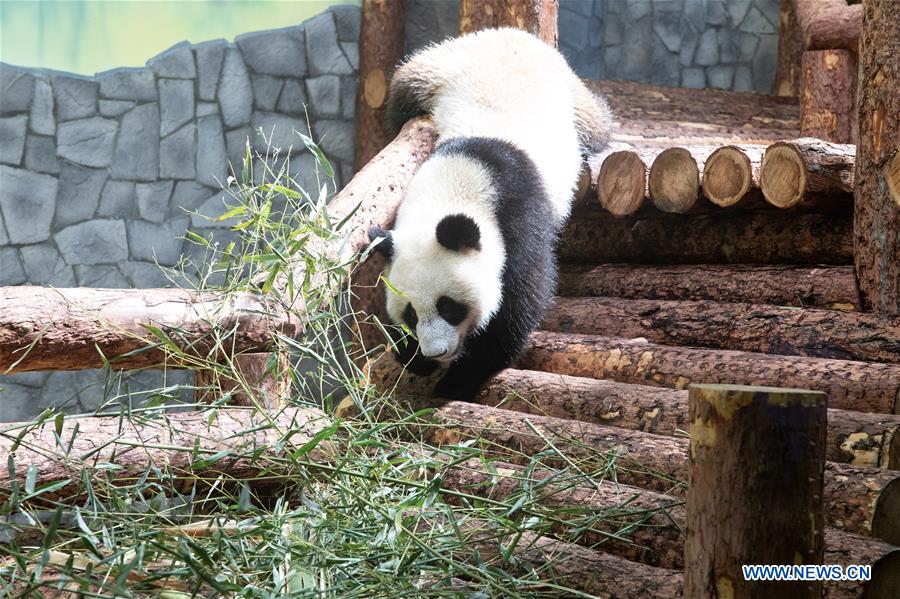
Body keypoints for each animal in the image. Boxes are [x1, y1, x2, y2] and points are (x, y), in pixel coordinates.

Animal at [368, 27, 612, 401]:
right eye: (411, 313)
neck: (463, 171)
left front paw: (457, 381)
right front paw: (412, 356)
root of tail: (507, 32)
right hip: (429, 72)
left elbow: (518, 303)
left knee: (596, 123)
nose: (436, 351)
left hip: (571, 95)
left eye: (448, 306)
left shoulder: (519, 214)